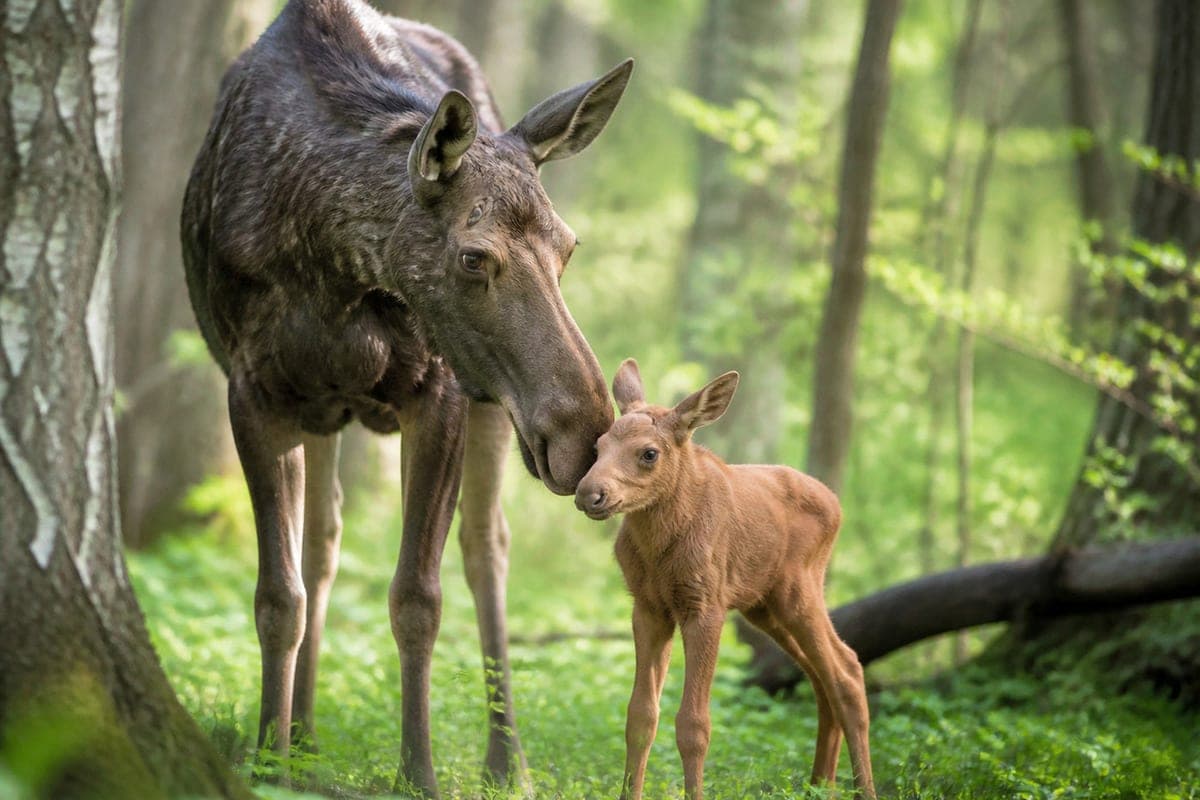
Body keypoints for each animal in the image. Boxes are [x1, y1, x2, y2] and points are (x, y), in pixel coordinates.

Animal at [180, 0, 632, 794]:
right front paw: (269, 753)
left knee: (486, 548)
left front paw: (417, 770)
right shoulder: (252, 389)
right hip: (329, 408)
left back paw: (506, 760)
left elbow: (417, 597)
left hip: (488, 404)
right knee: (323, 541)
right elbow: (278, 596)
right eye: (473, 256)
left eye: (569, 246)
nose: (586, 434)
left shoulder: (441, 388)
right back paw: (304, 735)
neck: (327, 262)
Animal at [574, 359, 876, 800]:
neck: (658, 548)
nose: (588, 494)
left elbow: (693, 725)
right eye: (597, 447)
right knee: (822, 678)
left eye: (649, 453)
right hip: (764, 606)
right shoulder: (648, 608)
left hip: (799, 591)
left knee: (847, 671)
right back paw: (820, 783)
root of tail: (837, 505)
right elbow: (640, 717)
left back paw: (862, 788)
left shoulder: (706, 606)